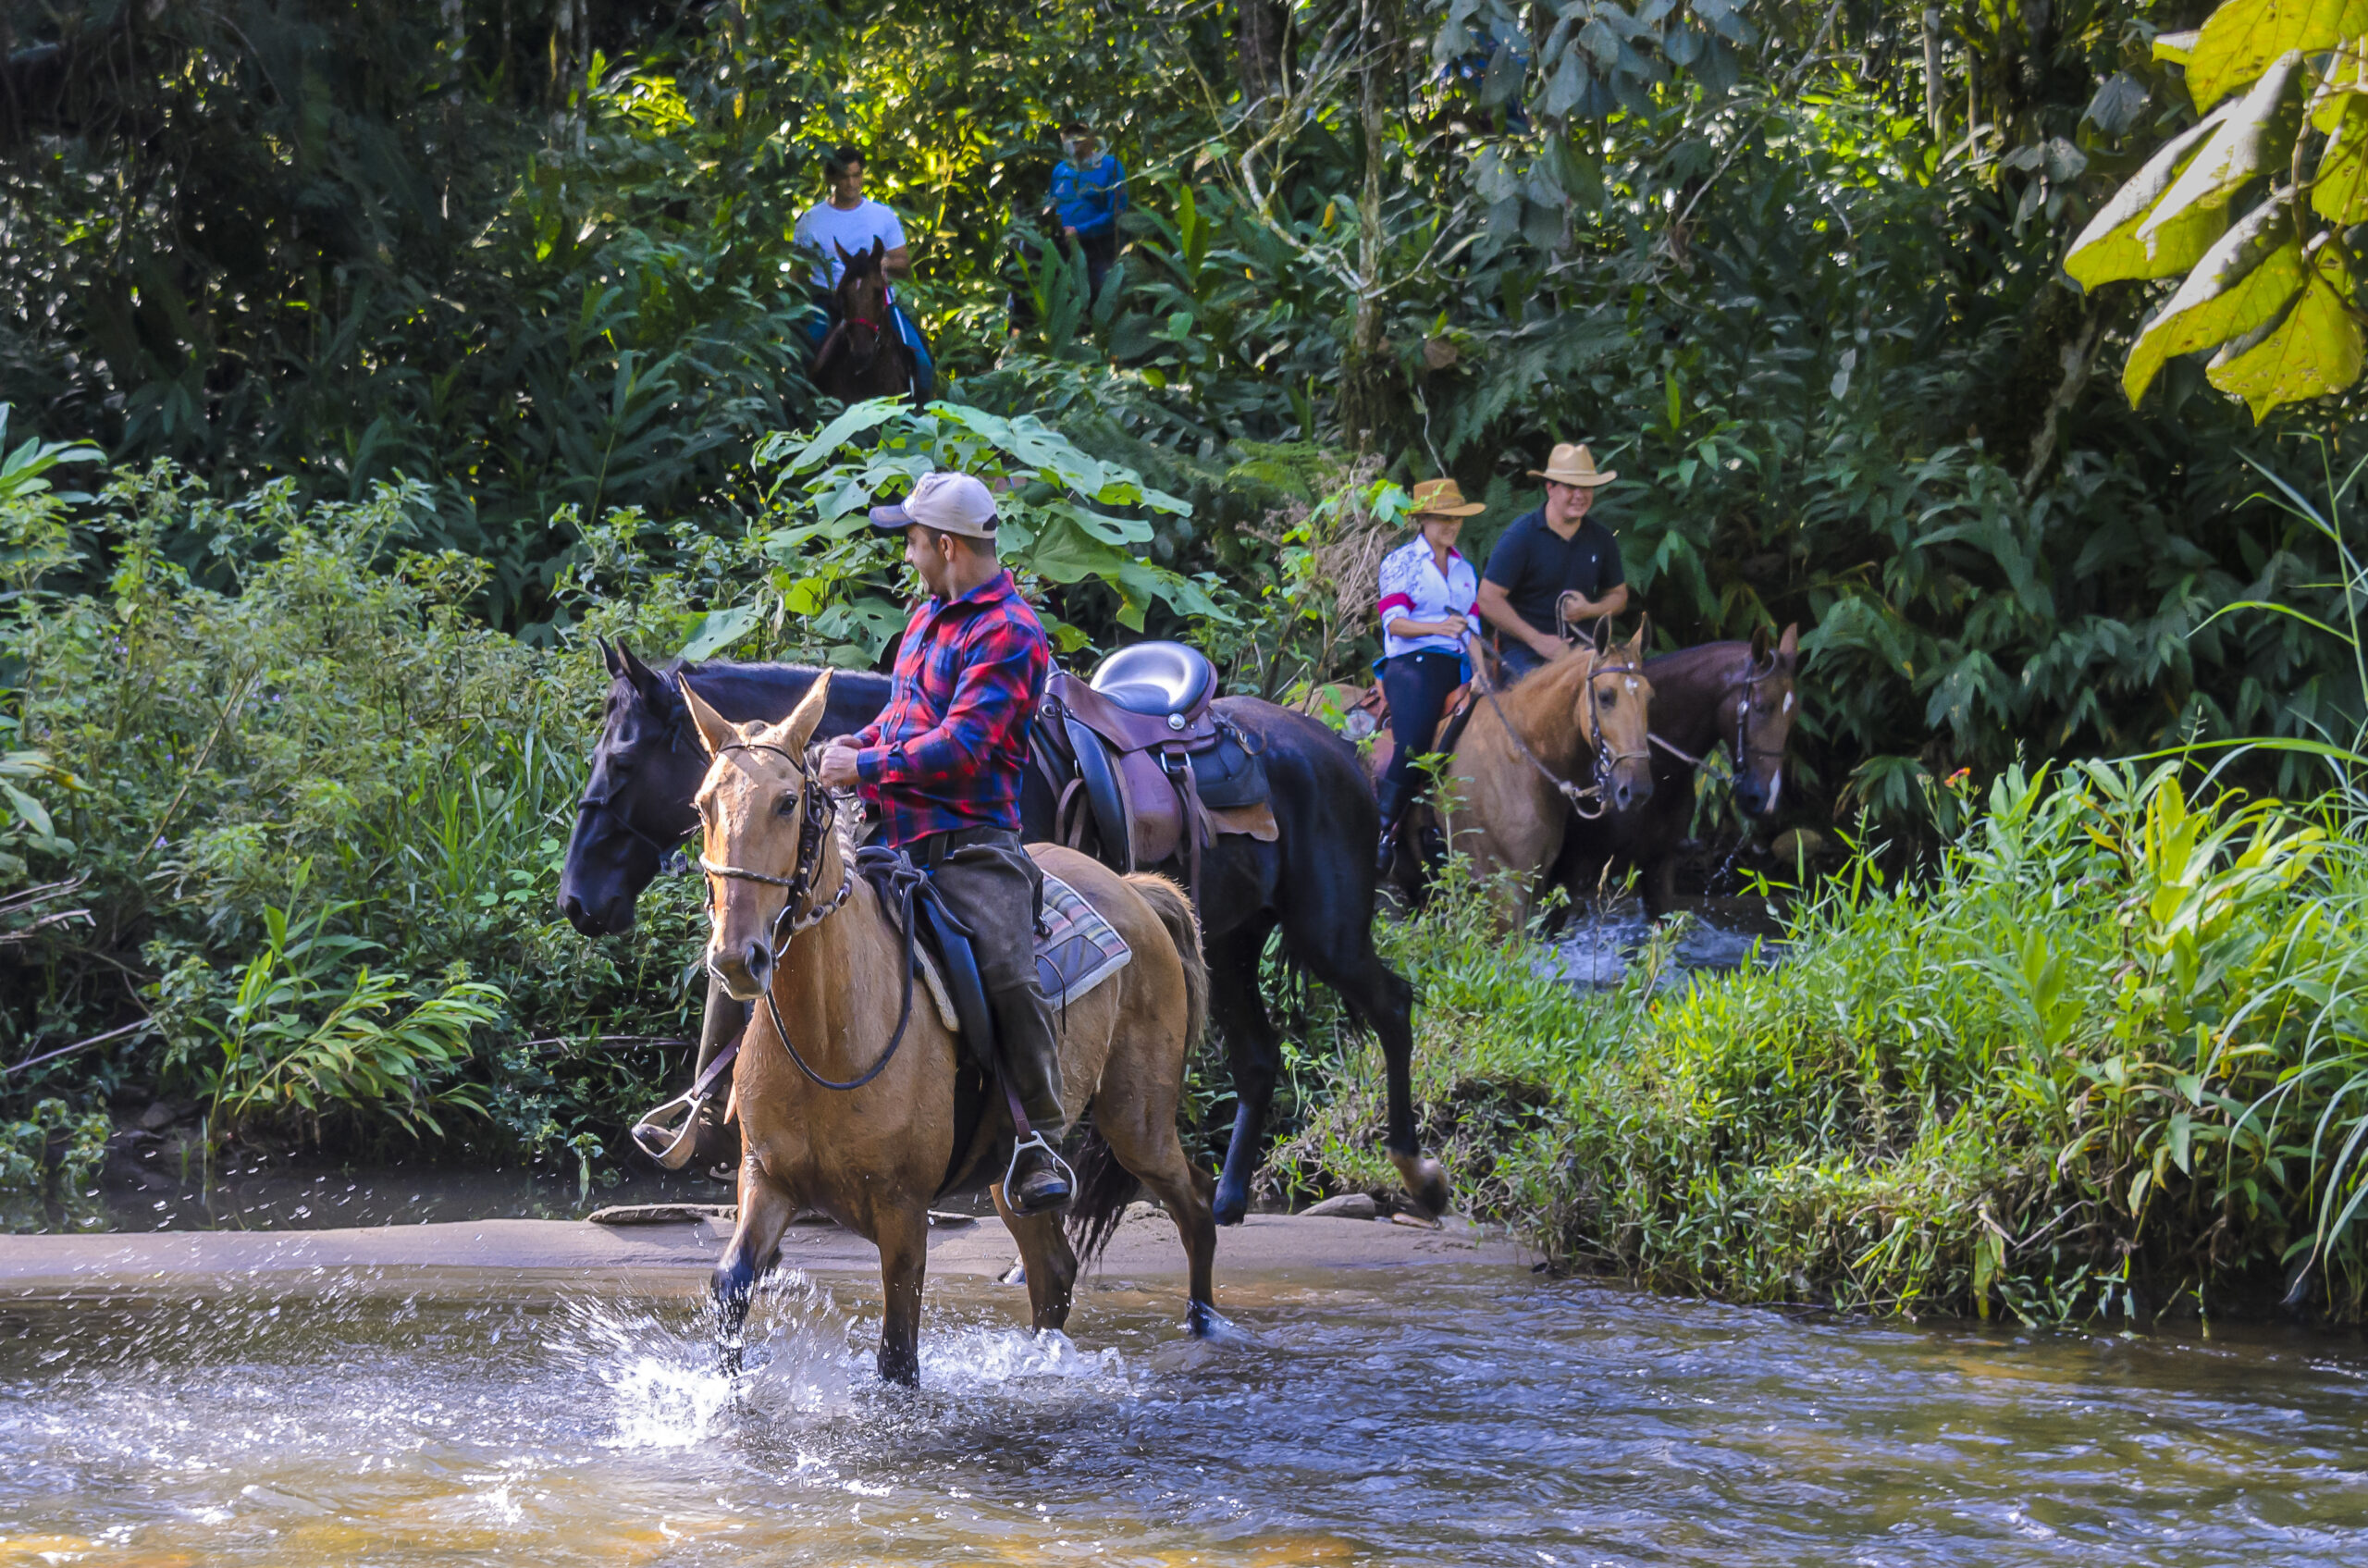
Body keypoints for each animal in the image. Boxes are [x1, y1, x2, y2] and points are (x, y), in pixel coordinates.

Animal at [558, 641, 1448, 1225]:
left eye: (625, 760)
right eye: (702, 798)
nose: (576, 901)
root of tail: (1341, 749)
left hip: (1328, 929)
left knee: (1395, 1004)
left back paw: (1419, 1171)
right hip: (1229, 944)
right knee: (1259, 1058)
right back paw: (1226, 1200)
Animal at [681, 674, 1217, 1385]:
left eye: (788, 802)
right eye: (704, 805)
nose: (738, 959)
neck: (828, 1034)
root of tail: (1134, 889)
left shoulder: (905, 1215)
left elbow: (898, 1358)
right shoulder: (766, 1180)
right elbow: (731, 1286)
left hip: (1140, 1122)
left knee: (1197, 1211)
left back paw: (1207, 1330)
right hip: (1012, 1168)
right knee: (1053, 1271)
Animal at [1432, 628, 1656, 931]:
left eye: (1650, 698)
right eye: (1606, 696)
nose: (1637, 790)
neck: (1519, 759)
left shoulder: (1537, 884)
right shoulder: (1504, 890)